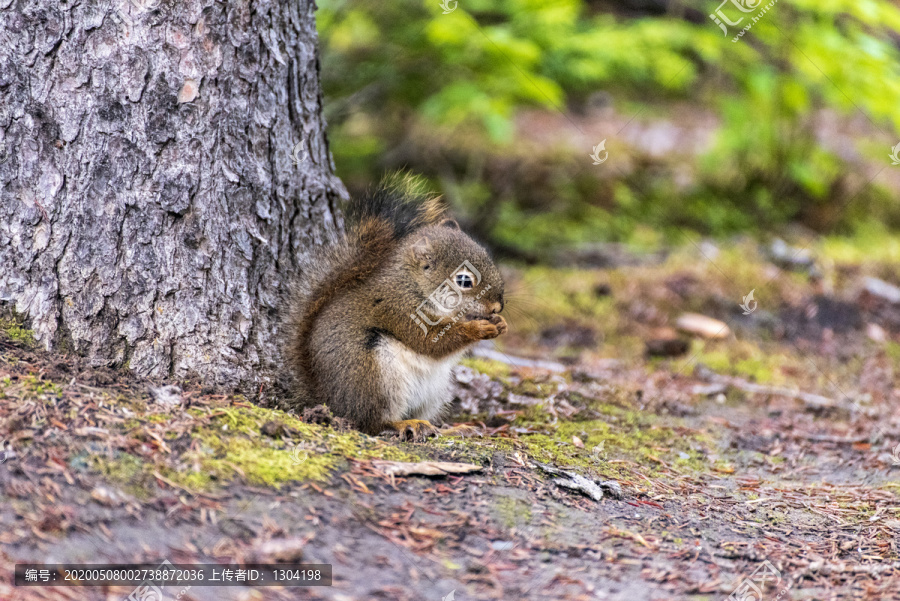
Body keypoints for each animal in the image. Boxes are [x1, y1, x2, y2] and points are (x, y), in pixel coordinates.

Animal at [284, 173, 506, 440]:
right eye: (464, 280)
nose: (497, 307)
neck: (414, 286)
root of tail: (330, 401)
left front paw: (500, 324)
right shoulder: (398, 309)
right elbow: (431, 342)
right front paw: (479, 329)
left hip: (434, 390)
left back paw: (450, 428)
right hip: (375, 378)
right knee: (370, 423)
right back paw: (404, 424)